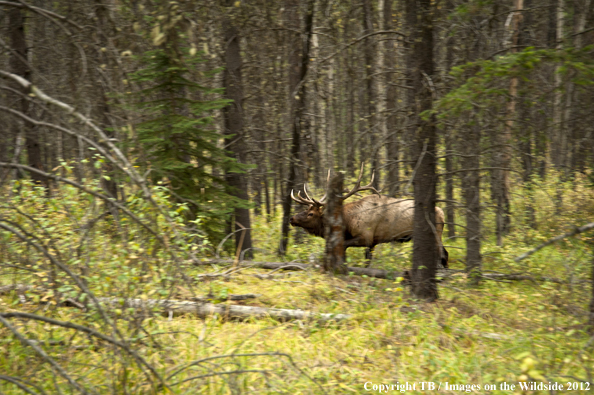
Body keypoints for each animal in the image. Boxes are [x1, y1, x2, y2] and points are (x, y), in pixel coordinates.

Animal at [290, 166, 446, 268]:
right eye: (306, 209)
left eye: (311, 214)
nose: (292, 218)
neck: (348, 222)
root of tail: (442, 213)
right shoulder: (373, 242)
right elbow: (367, 261)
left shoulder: (366, 236)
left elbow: (345, 246)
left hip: (435, 233)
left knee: (442, 254)